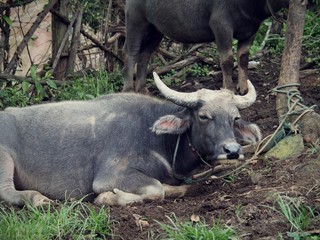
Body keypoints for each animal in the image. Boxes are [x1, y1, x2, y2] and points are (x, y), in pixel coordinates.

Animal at [0, 72, 260, 206]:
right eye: (204, 116)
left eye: (235, 118)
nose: (232, 150)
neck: (159, 140)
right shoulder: (110, 175)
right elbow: (155, 189)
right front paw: (109, 197)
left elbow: (178, 187)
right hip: (4, 159)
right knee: (7, 191)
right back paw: (37, 198)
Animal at [124, 0, 288, 94]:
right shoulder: (220, 26)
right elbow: (227, 60)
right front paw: (229, 89)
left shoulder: (250, 31)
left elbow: (243, 58)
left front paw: (243, 88)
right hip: (135, 21)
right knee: (130, 53)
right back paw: (129, 89)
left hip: (155, 29)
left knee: (144, 55)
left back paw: (142, 89)